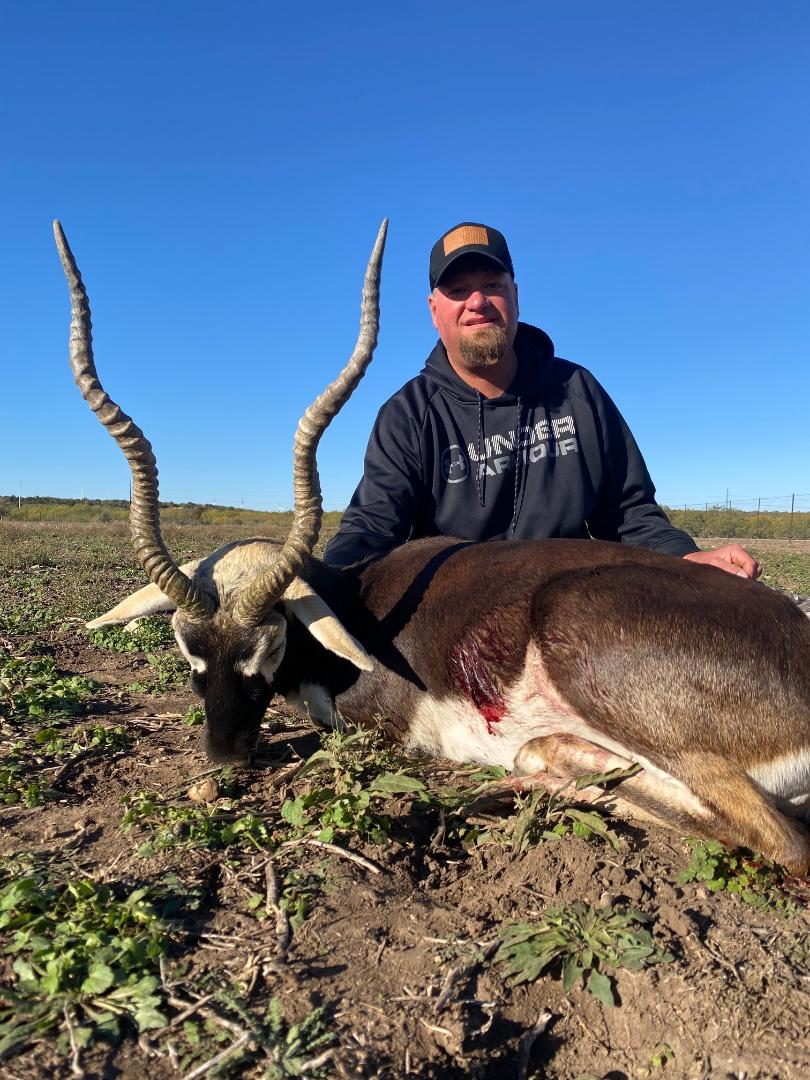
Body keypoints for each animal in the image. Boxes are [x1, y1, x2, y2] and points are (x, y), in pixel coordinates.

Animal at [55, 221, 810, 876]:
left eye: (265, 647)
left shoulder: (372, 727)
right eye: (187, 650)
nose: (223, 760)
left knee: (781, 840)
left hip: (583, 626)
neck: (351, 607)